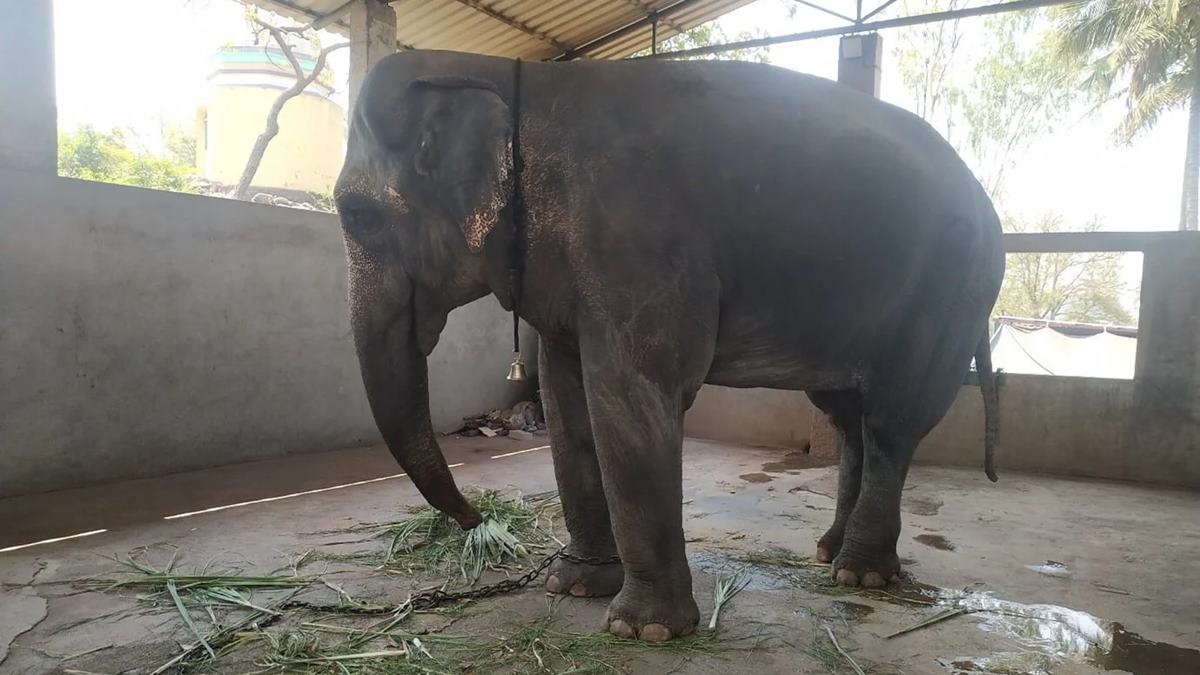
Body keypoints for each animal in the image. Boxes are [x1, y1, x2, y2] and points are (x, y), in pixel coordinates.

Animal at [334, 50, 1004, 642]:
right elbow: (566, 401)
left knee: (893, 420)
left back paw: (860, 575)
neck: (516, 80)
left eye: (357, 216)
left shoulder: (637, 242)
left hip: (952, 290)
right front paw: (573, 586)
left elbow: (632, 396)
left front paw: (644, 630)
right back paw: (829, 553)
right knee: (848, 418)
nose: (479, 519)